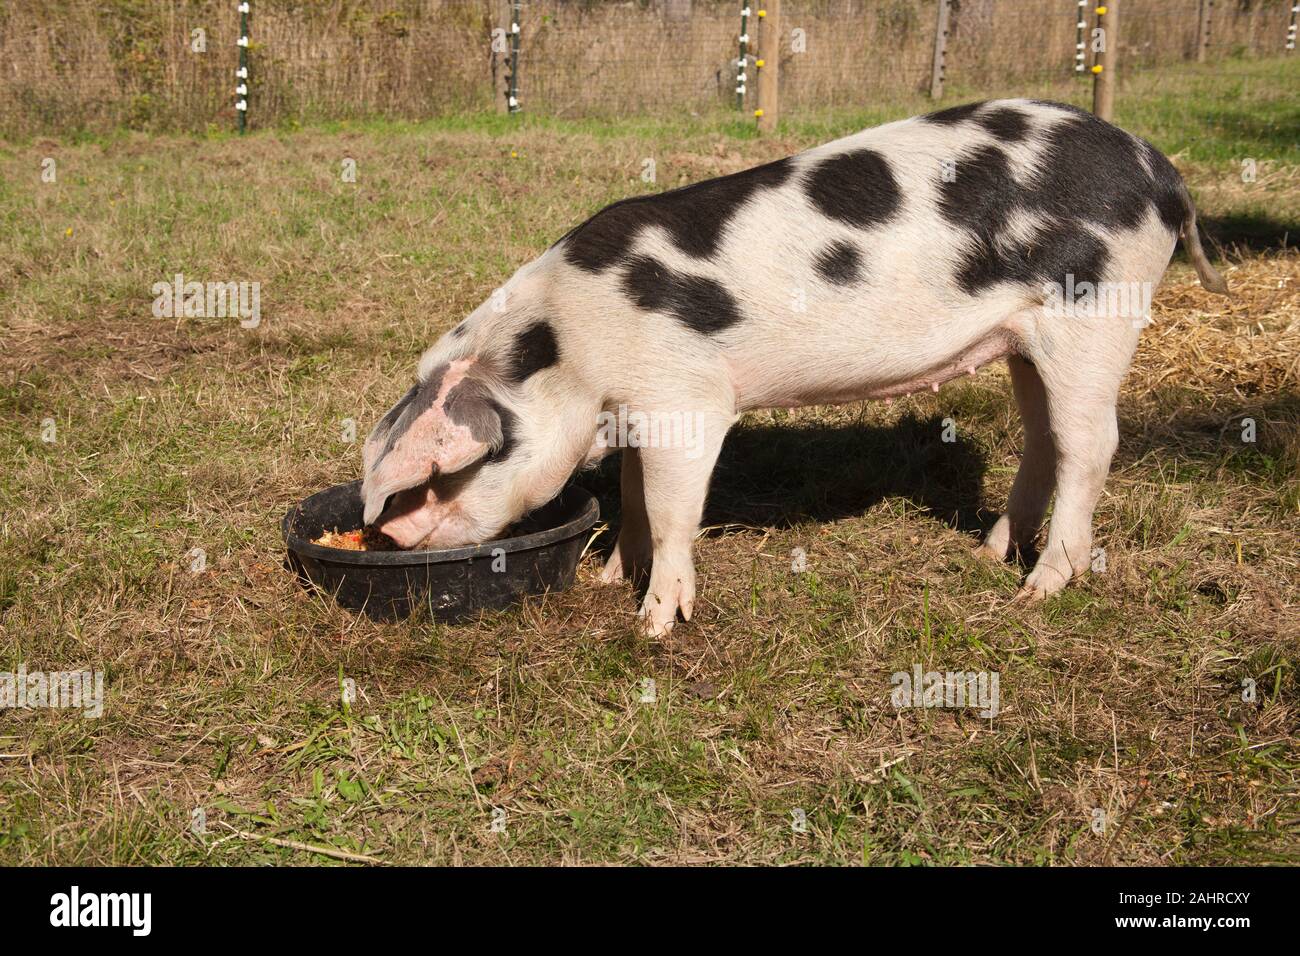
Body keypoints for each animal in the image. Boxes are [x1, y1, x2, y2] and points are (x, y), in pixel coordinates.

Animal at [361, 98, 1222, 634]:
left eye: (455, 471)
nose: (390, 535)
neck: (566, 351)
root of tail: (1161, 170)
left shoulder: (688, 398)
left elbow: (671, 507)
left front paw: (652, 626)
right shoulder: (640, 406)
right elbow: (634, 495)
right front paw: (609, 578)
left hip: (1097, 311)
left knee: (1091, 443)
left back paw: (1040, 591)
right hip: (1024, 338)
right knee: (1043, 437)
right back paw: (989, 554)